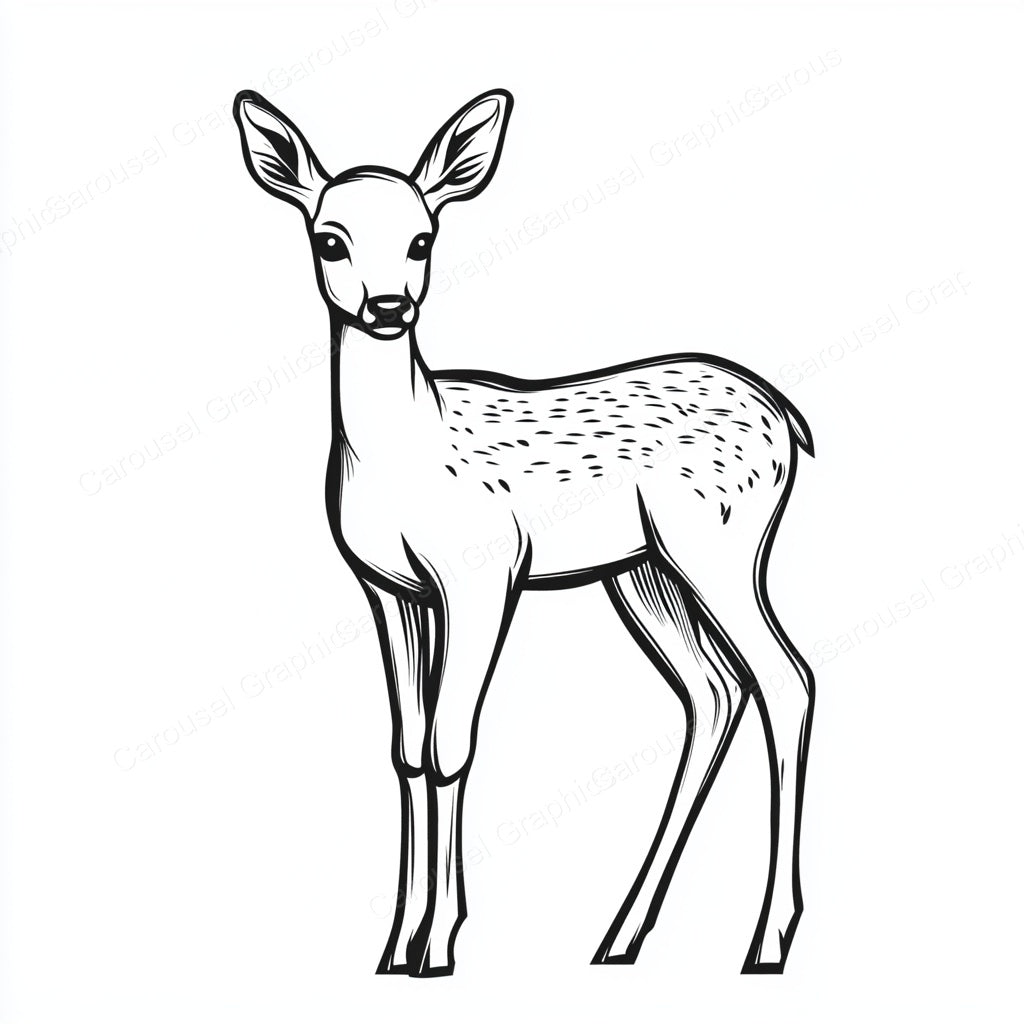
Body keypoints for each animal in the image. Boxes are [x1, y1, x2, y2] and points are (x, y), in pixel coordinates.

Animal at [233, 87, 815, 977]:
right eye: (328, 238)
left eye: (423, 238)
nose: (387, 307)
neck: (405, 452)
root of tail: (787, 417)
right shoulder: (388, 590)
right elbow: (407, 748)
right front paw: (394, 946)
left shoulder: (483, 572)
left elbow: (452, 744)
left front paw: (439, 944)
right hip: (643, 572)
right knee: (713, 692)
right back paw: (619, 937)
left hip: (720, 544)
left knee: (785, 680)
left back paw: (767, 941)